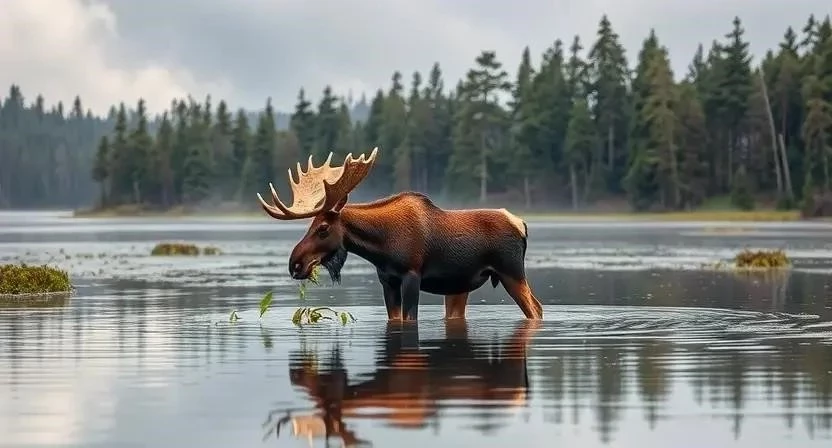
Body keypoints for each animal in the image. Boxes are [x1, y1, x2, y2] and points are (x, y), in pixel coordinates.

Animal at [256, 147, 544, 321]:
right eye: (310, 225)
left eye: (323, 228)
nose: (295, 264)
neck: (380, 248)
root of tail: (521, 224)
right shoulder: (388, 281)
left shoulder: (412, 275)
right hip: (460, 287)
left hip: (512, 272)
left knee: (536, 309)